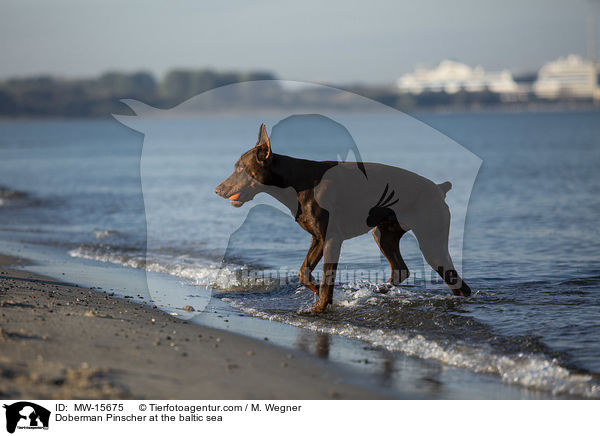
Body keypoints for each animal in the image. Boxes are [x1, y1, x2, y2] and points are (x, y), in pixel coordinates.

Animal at [213, 124, 472, 312]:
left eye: (240, 168)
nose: (217, 190)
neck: (295, 182)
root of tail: (439, 188)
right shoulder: (317, 238)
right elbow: (303, 272)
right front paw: (317, 294)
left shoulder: (331, 238)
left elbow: (327, 278)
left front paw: (320, 307)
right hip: (383, 233)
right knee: (401, 270)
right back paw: (378, 291)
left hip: (431, 240)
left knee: (457, 284)